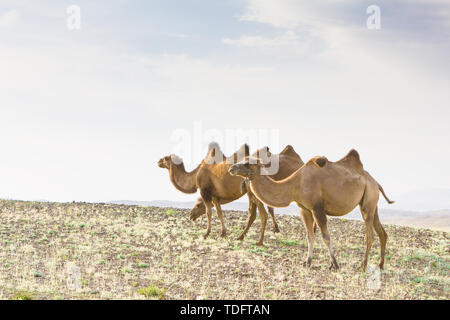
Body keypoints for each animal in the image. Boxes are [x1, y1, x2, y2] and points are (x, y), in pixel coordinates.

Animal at [230, 149, 396, 270]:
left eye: (248, 164)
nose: (232, 168)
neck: (295, 185)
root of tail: (375, 182)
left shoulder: (317, 208)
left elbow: (326, 237)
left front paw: (334, 264)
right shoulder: (304, 209)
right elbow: (309, 236)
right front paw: (307, 262)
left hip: (368, 201)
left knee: (370, 235)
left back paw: (363, 265)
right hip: (371, 202)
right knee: (382, 233)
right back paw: (380, 264)